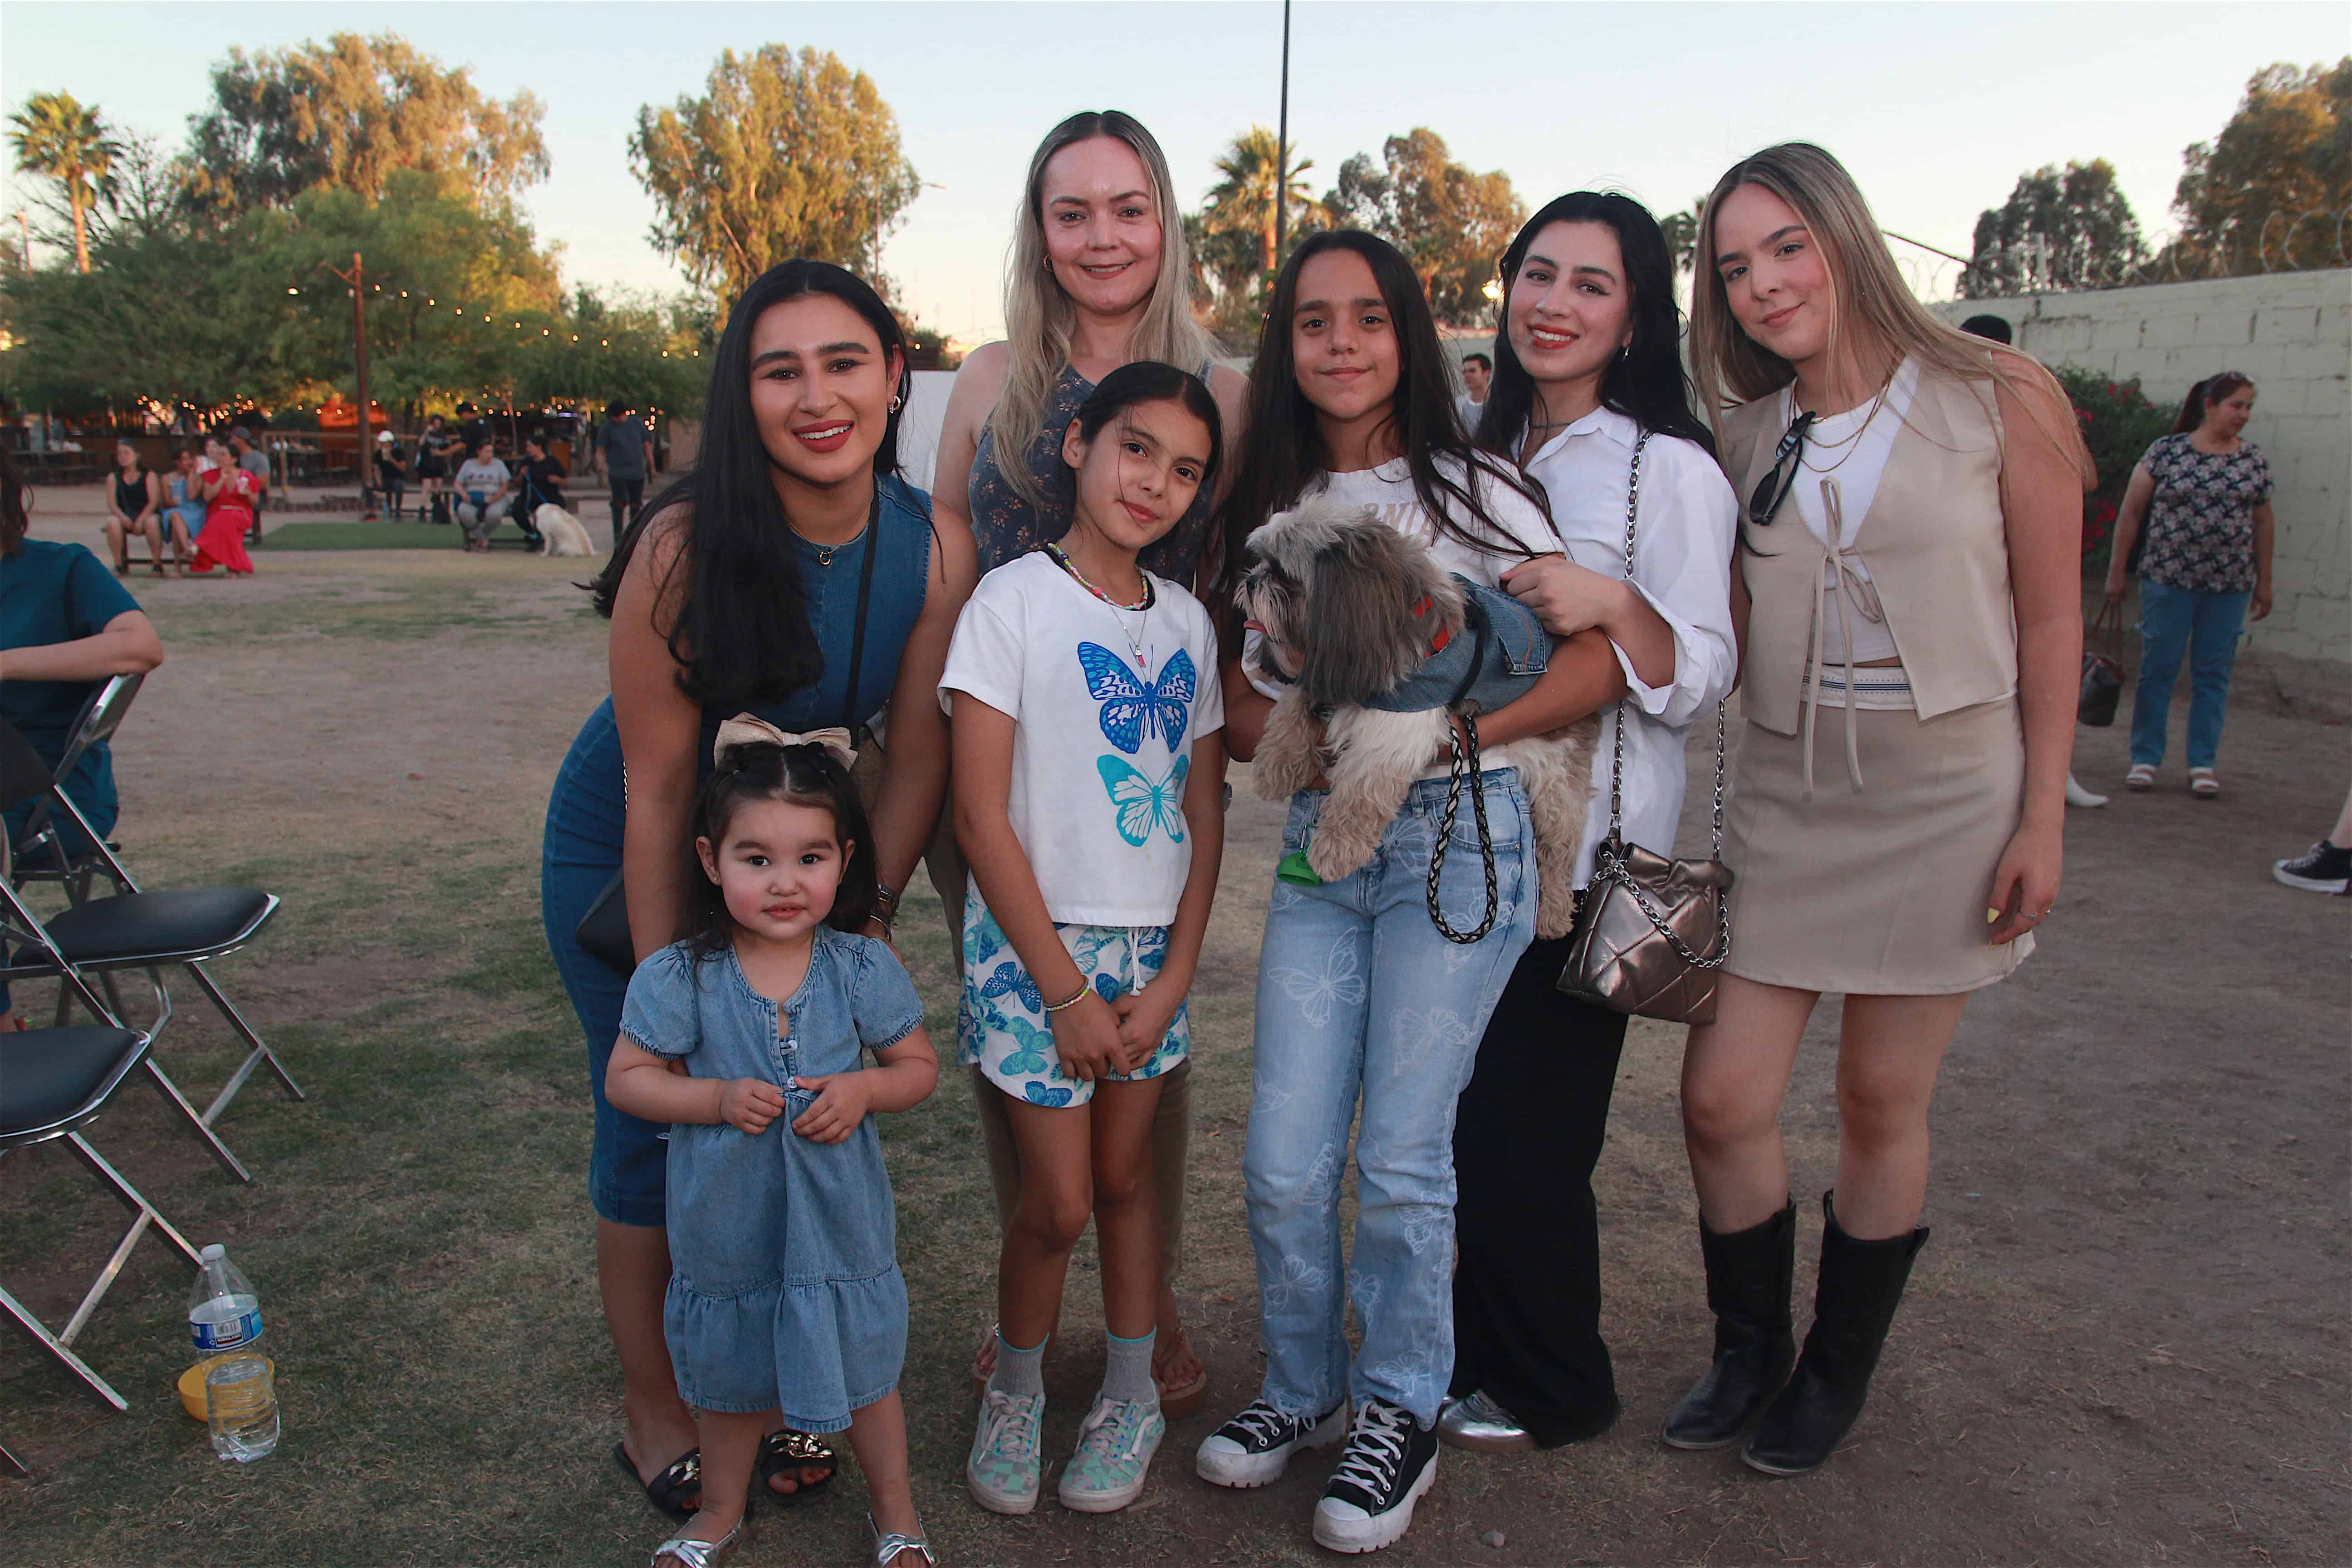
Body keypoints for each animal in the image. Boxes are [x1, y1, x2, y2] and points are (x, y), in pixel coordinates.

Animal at [536, 505, 597, 562]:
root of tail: (589, 552)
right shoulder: (553, 536)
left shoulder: (547, 534)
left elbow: (547, 546)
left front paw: (544, 554)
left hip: (563, 548)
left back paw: (558, 554)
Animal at [1232, 500, 1599, 931]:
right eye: (1262, 563)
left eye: (1284, 575)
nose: (1252, 581)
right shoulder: (1329, 668)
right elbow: (1291, 708)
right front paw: (1277, 764)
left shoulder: (1399, 727)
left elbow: (1360, 790)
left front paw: (1336, 848)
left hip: (1557, 776)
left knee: (1559, 848)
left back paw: (1554, 912)